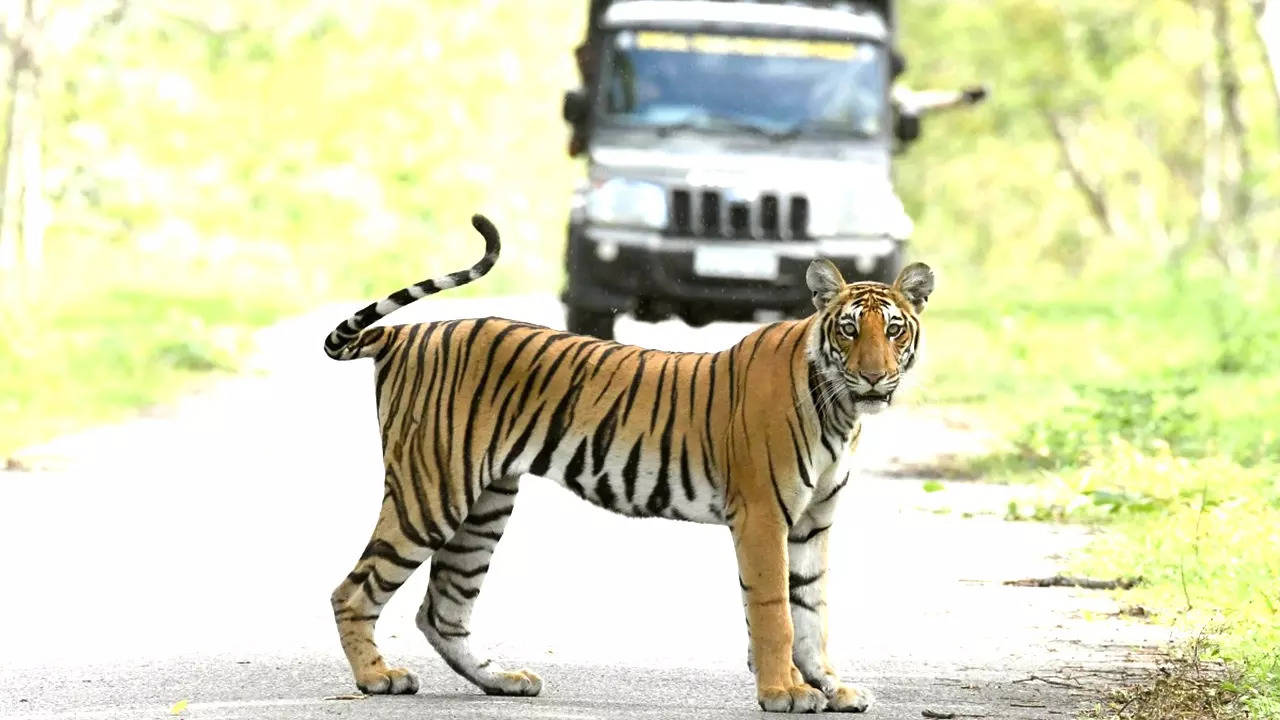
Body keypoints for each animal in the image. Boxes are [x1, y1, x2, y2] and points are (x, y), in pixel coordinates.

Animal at [325, 212, 936, 712]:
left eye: (894, 329)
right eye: (850, 329)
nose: (876, 377)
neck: (841, 410)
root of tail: (409, 332)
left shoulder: (812, 522)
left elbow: (812, 611)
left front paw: (832, 688)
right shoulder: (764, 516)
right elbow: (774, 612)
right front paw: (783, 692)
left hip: (486, 504)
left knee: (443, 609)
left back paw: (503, 681)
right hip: (431, 492)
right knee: (353, 590)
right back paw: (378, 677)